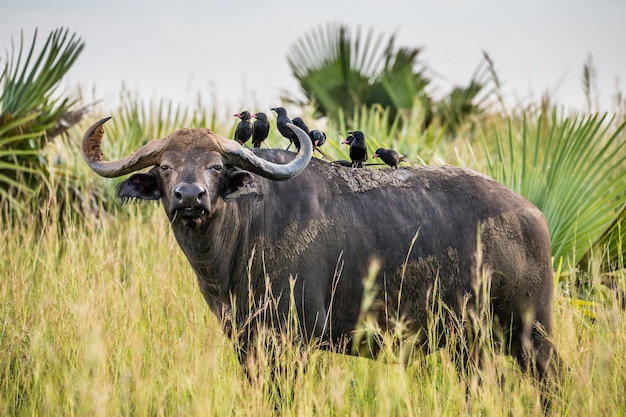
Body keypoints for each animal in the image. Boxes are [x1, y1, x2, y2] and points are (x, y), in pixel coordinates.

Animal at [81, 115, 556, 386]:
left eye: (216, 167)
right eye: (165, 167)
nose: (190, 197)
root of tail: (532, 215)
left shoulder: (293, 342)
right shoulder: (246, 344)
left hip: (531, 331)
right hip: (470, 343)